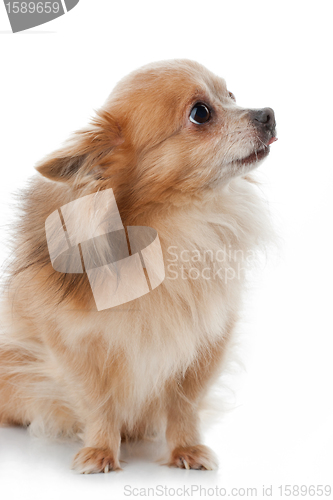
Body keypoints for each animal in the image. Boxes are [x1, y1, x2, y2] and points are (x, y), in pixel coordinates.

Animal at [0, 59, 274, 472]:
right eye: (201, 113)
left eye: (231, 95)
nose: (269, 114)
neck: (172, 228)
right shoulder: (71, 344)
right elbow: (98, 401)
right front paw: (101, 450)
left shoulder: (207, 341)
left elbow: (184, 403)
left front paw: (186, 449)